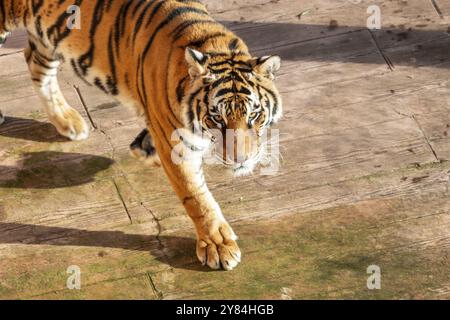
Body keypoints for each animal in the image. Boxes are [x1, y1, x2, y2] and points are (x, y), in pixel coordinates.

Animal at [0, 0, 282, 272]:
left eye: (254, 115)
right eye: (217, 118)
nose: (241, 160)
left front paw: (144, 148)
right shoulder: (178, 148)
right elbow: (197, 198)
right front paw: (218, 246)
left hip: (48, 36)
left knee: (34, 62)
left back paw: (68, 121)